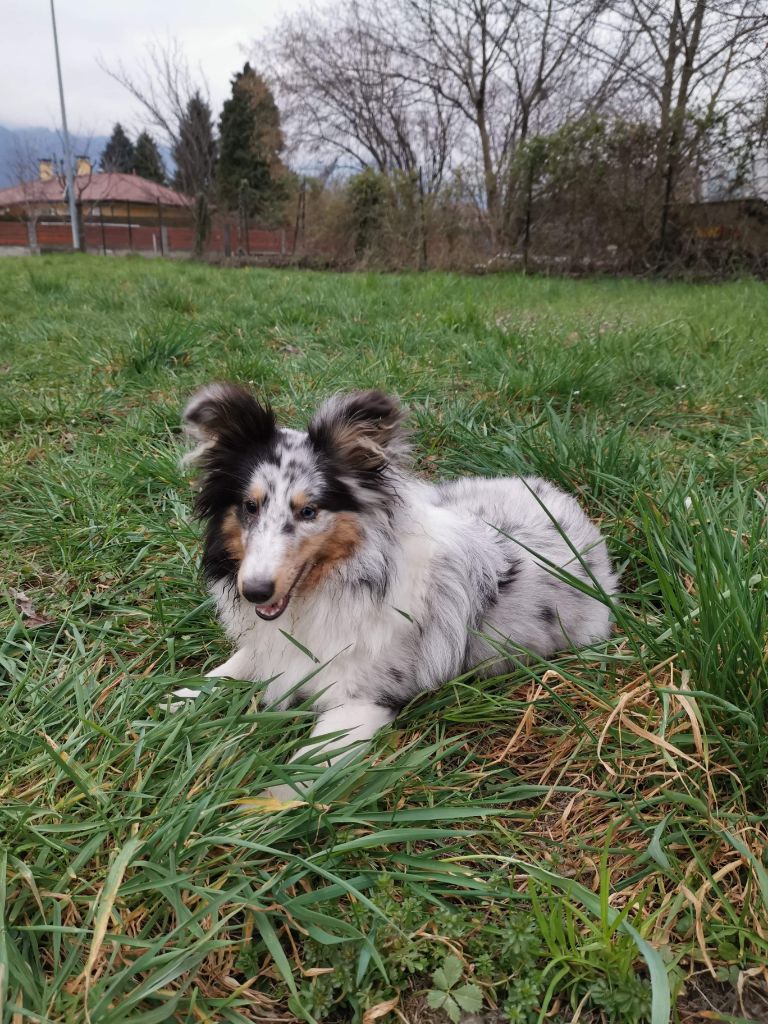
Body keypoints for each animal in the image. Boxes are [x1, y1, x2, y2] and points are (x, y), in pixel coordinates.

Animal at [176, 385, 618, 798]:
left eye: (309, 511)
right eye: (250, 507)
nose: (254, 591)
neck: (339, 581)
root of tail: (563, 499)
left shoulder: (361, 701)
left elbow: (305, 764)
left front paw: (262, 808)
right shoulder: (271, 649)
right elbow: (222, 673)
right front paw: (172, 703)